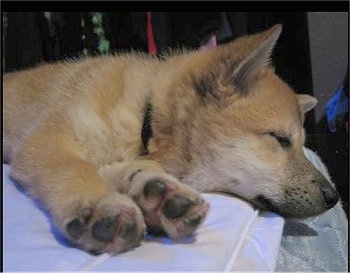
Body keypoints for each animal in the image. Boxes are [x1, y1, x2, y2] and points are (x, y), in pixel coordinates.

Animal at [2, 24, 340, 254]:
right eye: (280, 139)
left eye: (302, 145)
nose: (334, 197)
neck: (146, 114)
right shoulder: (47, 140)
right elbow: (74, 168)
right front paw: (99, 202)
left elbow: (133, 169)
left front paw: (157, 192)